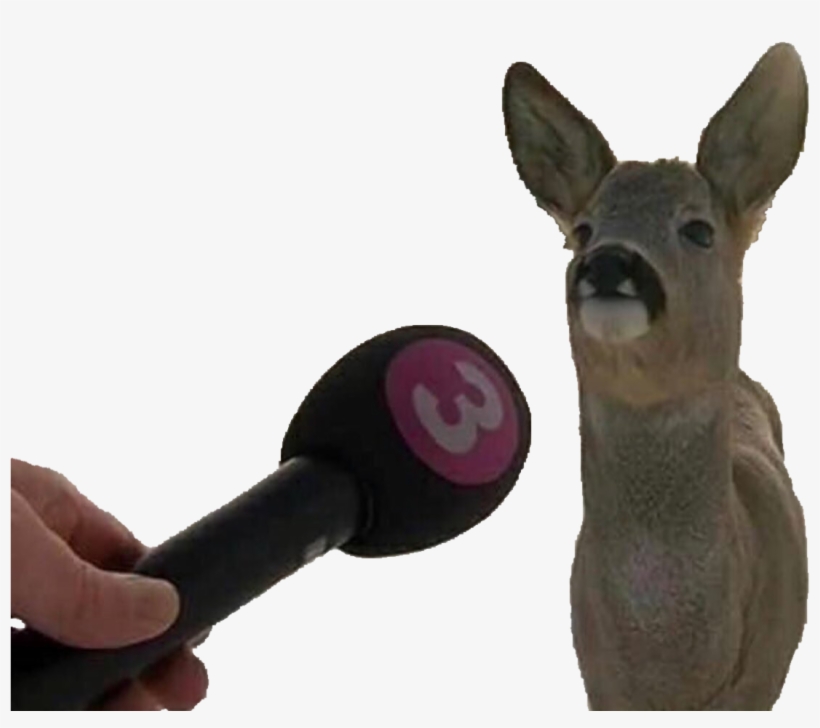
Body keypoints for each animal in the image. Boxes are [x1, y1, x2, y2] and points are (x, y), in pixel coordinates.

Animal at [502, 43, 808, 710]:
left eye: (698, 229)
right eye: (581, 230)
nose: (607, 262)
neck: (673, 680)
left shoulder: (764, 683)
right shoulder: (598, 685)